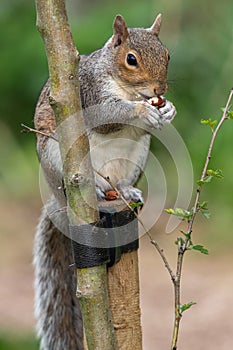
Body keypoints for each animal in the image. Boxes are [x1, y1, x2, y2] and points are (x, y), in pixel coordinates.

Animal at [33, 14, 177, 350]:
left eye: (166, 55)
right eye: (131, 59)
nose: (160, 89)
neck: (127, 90)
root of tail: (58, 203)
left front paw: (168, 109)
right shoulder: (90, 93)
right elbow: (110, 116)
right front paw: (142, 111)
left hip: (137, 157)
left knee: (122, 183)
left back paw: (126, 190)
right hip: (57, 157)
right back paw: (96, 189)